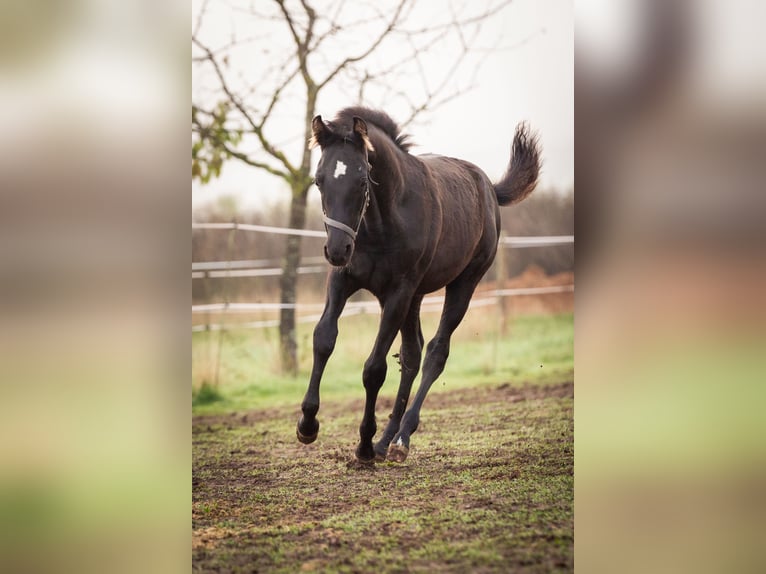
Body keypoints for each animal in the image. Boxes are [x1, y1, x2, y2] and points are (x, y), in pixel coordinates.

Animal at [294, 108, 540, 466]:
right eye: (319, 180)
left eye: (363, 180)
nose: (337, 250)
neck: (381, 222)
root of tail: (491, 190)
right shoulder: (343, 281)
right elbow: (324, 339)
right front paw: (308, 425)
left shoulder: (399, 292)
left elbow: (374, 368)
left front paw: (363, 445)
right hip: (416, 296)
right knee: (412, 354)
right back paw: (386, 441)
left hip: (462, 284)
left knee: (435, 353)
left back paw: (400, 439)